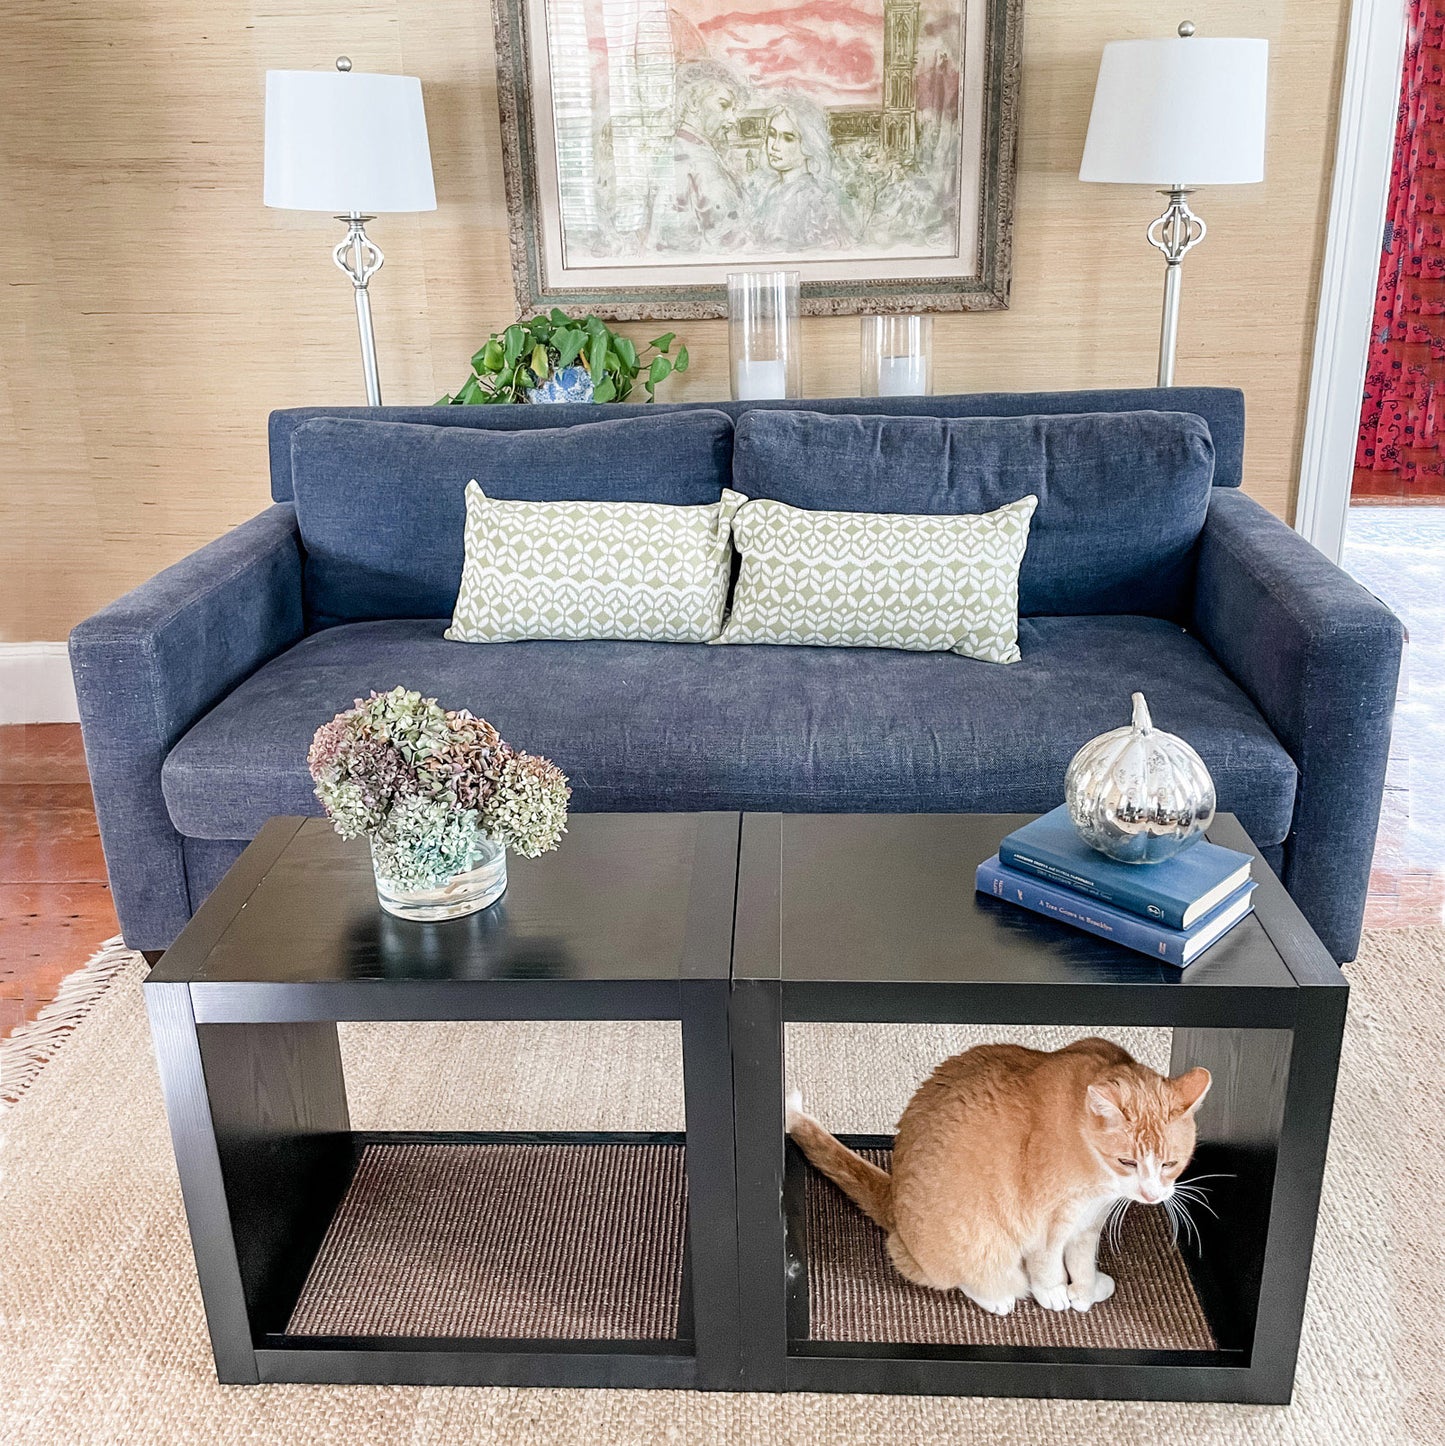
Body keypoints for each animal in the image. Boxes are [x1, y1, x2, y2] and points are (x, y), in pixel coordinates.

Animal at [786, 1041, 1215, 1312]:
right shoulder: (1047, 1222)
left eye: (1170, 1164)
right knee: (956, 1273)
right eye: (1127, 1161)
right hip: (970, 1243)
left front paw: (1086, 1290)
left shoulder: (1089, 1220)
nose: (1151, 1194)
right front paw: (1055, 1294)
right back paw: (998, 1296)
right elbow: (1047, 1264)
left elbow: (1081, 1260)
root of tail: (891, 1198)